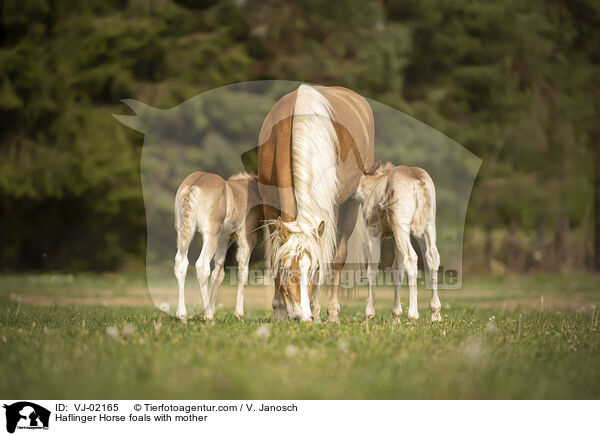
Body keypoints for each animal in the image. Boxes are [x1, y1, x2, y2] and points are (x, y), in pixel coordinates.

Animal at [171, 172, 260, 322]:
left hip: (182, 230)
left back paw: (182, 315)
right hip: (211, 233)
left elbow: (218, 273)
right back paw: (208, 316)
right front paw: (239, 314)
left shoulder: (224, 238)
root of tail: (193, 186)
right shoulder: (246, 238)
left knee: (181, 263)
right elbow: (243, 272)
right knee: (202, 266)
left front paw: (213, 309)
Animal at [258, 83, 376, 322]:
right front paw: (278, 310)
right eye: (285, 269)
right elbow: (275, 253)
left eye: (315, 271)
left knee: (339, 256)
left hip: (350, 203)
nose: (302, 317)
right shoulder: (269, 205)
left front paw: (316, 311)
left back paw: (332, 313)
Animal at [356, 162, 440, 322]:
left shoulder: (373, 231)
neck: (372, 187)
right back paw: (435, 315)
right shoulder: (395, 236)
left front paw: (369, 315)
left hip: (402, 226)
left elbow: (372, 268)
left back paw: (412, 316)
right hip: (429, 224)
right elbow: (397, 270)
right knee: (432, 256)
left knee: (411, 259)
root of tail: (417, 179)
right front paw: (396, 317)